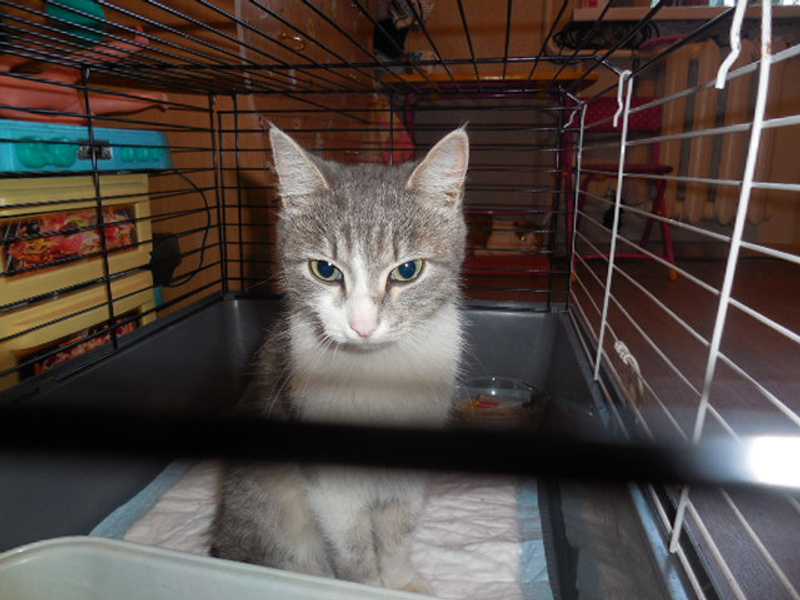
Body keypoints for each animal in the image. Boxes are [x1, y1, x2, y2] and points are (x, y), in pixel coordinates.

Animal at [210, 125, 469, 591]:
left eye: (407, 271)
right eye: (325, 270)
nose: (362, 325)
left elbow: (399, 526)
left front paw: (400, 580)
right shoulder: (329, 484)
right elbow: (351, 543)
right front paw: (364, 586)